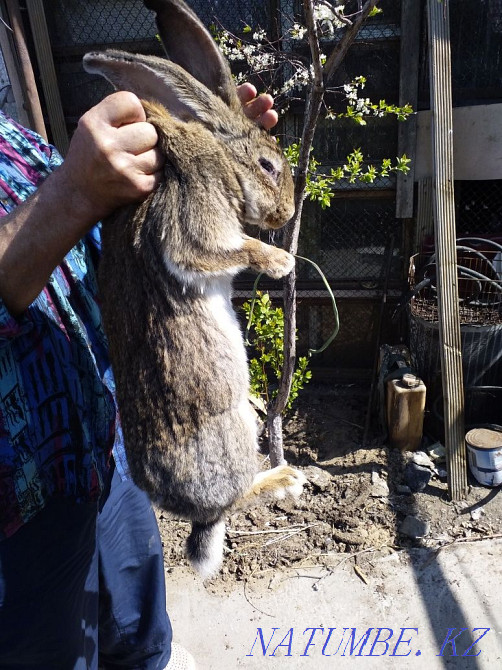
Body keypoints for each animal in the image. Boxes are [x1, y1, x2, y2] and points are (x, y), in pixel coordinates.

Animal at [83, 0, 306, 579]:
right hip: (236, 435)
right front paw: (281, 261)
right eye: (267, 166)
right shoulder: (192, 210)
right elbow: (213, 250)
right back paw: (284, 479)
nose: (285, 216)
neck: (220, 157)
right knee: (236, 496)